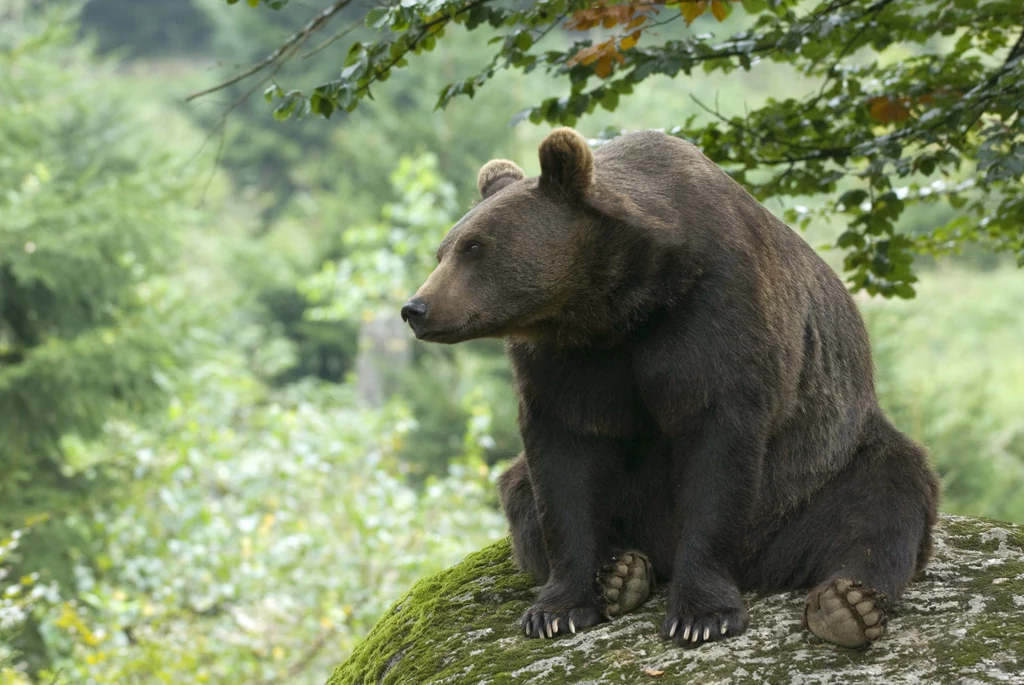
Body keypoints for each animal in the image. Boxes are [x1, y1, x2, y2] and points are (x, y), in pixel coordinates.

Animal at [397, 126, 937, 647]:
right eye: (443, 250)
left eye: (474, 247)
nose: (415, 308)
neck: (618, 304)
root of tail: (764, 568)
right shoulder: (565, 361)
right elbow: (562, 467)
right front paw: (557, 610)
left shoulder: (714, 311)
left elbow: (715, 445)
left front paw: (702, 616)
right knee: (520, 490)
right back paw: (623, 573)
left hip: (817, 475)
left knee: (885, 497)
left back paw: (847, 605)